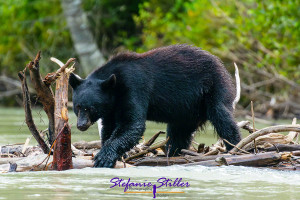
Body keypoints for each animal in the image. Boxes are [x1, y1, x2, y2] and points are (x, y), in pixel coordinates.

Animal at [69, 45, 241, 167]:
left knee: (221, 116)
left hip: (214, 87)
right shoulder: (112, 106)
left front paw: (103, 158)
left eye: (90, 108)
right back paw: (173, 152)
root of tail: (220, 63)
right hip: (187, 109)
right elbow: (109, 127)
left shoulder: (134, 88)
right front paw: (116, 153)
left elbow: (132, 124)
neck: (115, 86)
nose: (81, 125)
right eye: (77, 107)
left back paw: (235, 148)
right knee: (179, 131)